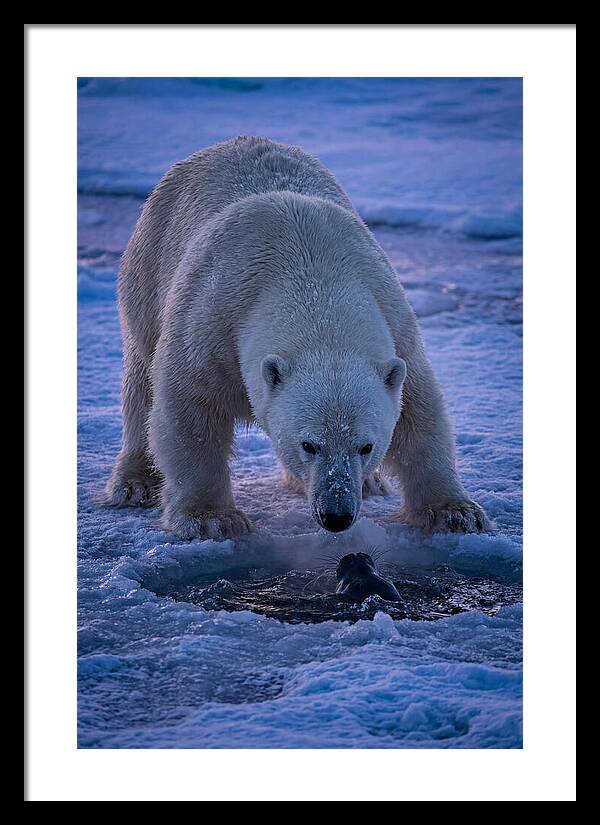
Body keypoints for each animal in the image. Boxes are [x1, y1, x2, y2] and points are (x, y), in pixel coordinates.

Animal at [103, 135, 491, 540]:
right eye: (309, 444)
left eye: (366, 445)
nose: (337, 515)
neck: (311, 273)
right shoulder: (212, 320)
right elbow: (190, 410)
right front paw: (211, 519)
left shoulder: (395, 323)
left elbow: (419, 411)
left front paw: (457, 513)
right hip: (148, 267)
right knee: (141, 380)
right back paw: (135, 483)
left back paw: (371, 484)